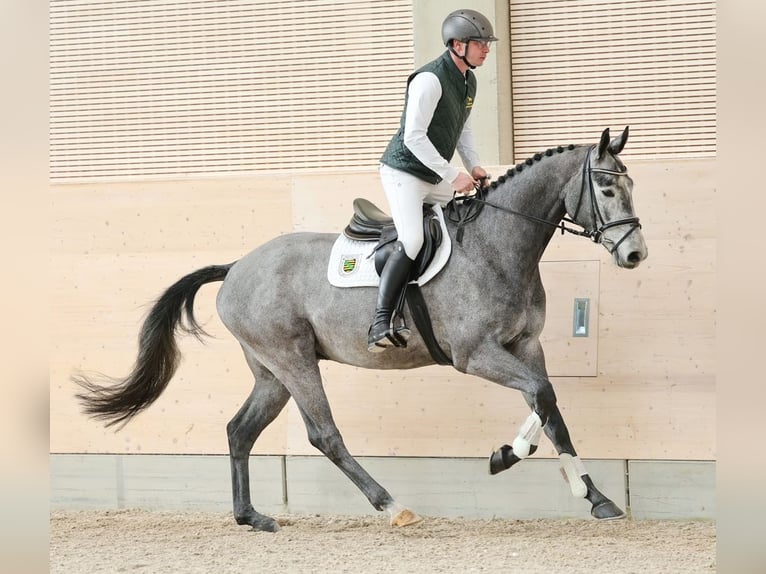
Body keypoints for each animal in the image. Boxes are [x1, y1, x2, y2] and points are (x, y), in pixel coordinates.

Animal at [75, 126, 648, 532]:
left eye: (630, 184)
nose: (635, 254)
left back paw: (252, 517)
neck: (497, 246)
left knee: (240, 430)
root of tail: (237, 266)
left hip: (271, 372)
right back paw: (392, 506)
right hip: (294, 361)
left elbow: (550, 409)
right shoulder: (476, 354)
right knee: (323, 433)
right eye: (605, 186)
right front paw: (505, 458)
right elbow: (543, 397)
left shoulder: (524, 346)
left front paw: (596, 498)